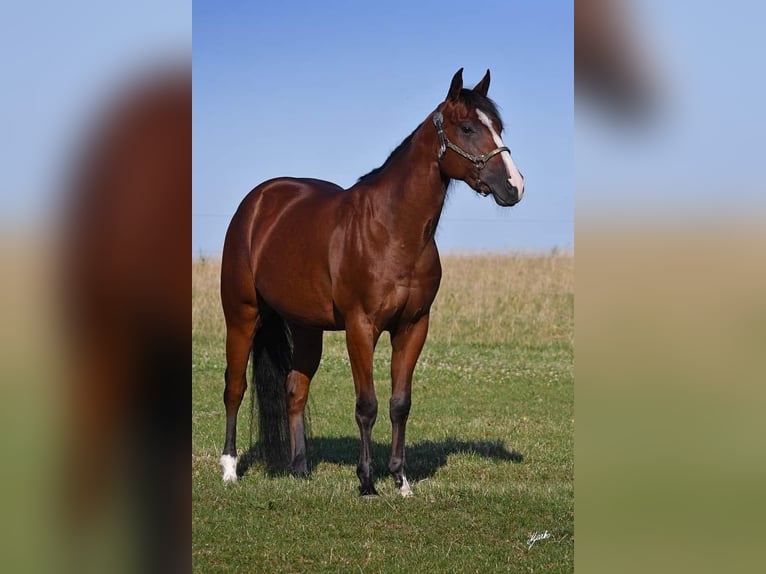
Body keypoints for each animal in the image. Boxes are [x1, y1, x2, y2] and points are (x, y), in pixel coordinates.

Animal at [219, 68, 524, 500]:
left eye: (498, 127)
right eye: (467, 128)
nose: (514, 187)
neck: (393, 230)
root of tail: (258, 202)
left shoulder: (413, 326)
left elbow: (400, 403)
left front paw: (401, 480)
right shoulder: (361, 327)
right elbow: (367, 405)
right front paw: (366, 482)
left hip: (306, 327)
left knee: (295, 389)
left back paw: (300, 469)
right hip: (242, 315)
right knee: (235, 388)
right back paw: (230, 469)